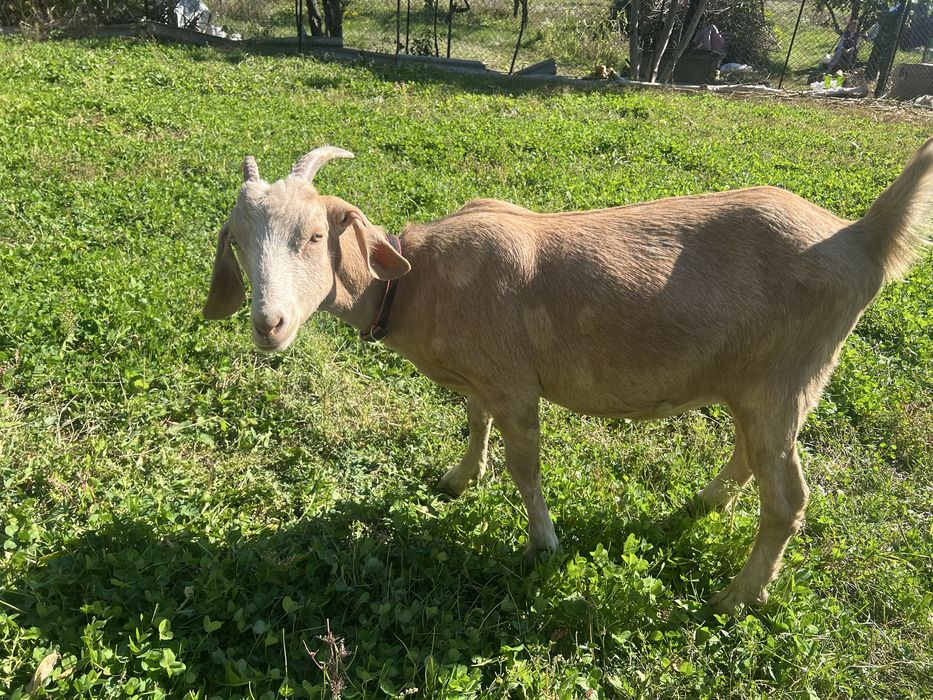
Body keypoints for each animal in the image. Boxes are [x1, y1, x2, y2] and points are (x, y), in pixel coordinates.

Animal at [203, 141, 933, 611]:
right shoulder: (484, 378)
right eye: (235, 239)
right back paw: (701, 506)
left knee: (787, 500)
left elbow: (525, 467)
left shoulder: (514, 382)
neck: (416, 285)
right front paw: (459, 479)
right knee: (749, 454)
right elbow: (474, 422)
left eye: (313, 236)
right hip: (759, 381)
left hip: (787, 376)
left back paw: (735, 596)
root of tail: (858, 239)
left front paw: (543, 544)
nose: (267, 324)